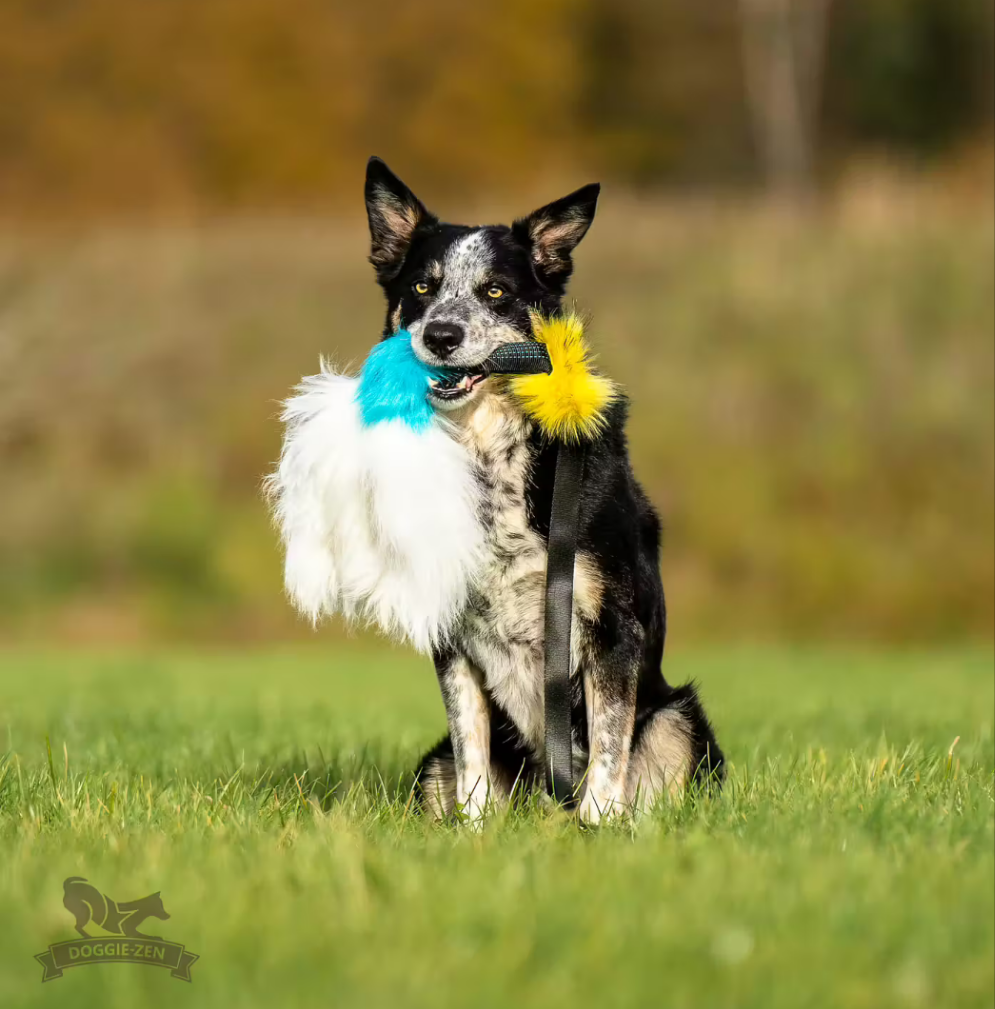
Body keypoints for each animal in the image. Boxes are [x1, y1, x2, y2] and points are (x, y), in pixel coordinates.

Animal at [357, 153, 722, 823]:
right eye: (422, 287)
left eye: (496, 290)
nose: (440, 335)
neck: (489, 455)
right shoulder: (450, 641)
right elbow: (471, 748)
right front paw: (475, 831)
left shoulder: (611, 629)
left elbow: (608, 744)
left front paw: (599, 824)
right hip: (431, 766)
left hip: (678, 715)